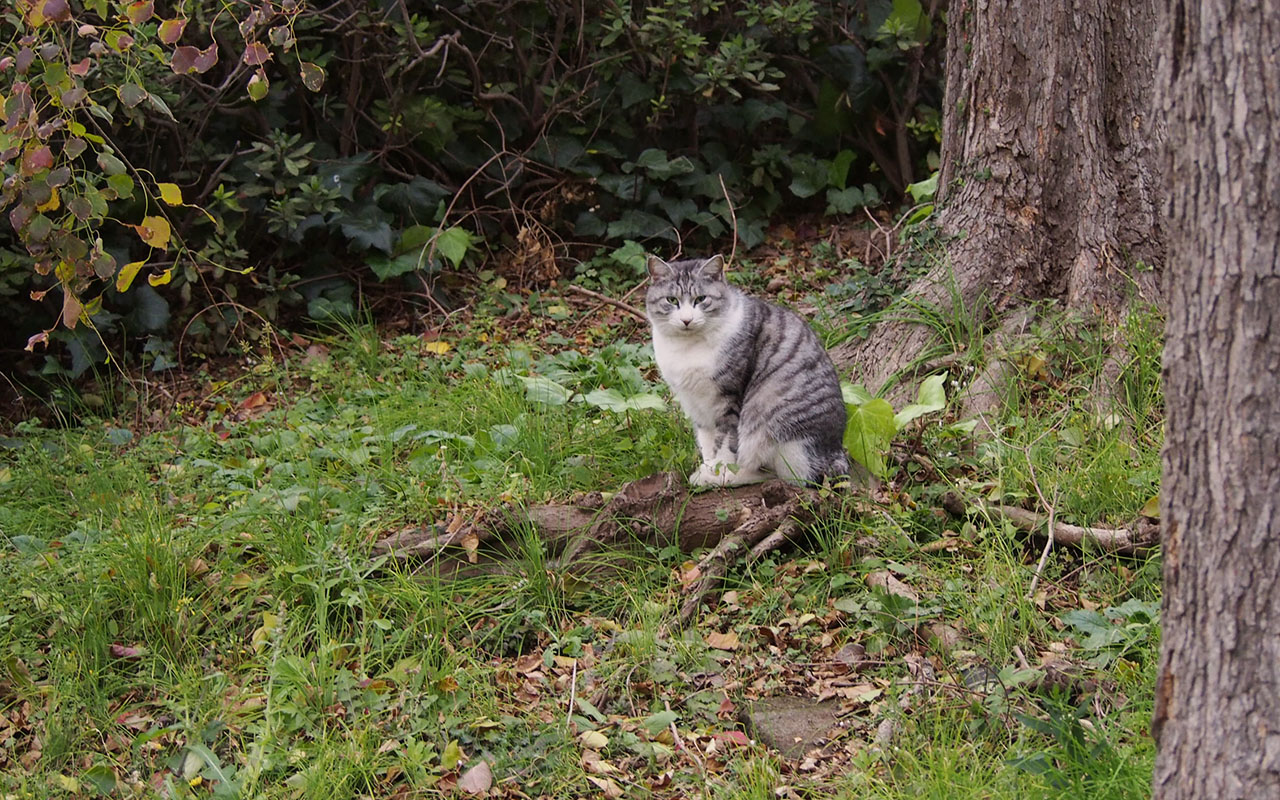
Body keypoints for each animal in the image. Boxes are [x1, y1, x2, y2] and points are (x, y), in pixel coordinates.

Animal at [640, 252, 849, 483]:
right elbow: (707, 442)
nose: (687, 320)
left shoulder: (729, 399)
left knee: (787, 475)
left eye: (701, 299)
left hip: (781, 429)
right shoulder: (695, 404)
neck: (688, 348)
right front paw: (708, 466)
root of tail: (836, 451)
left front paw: (717, 471)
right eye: (671, 300)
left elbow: (724, 445)